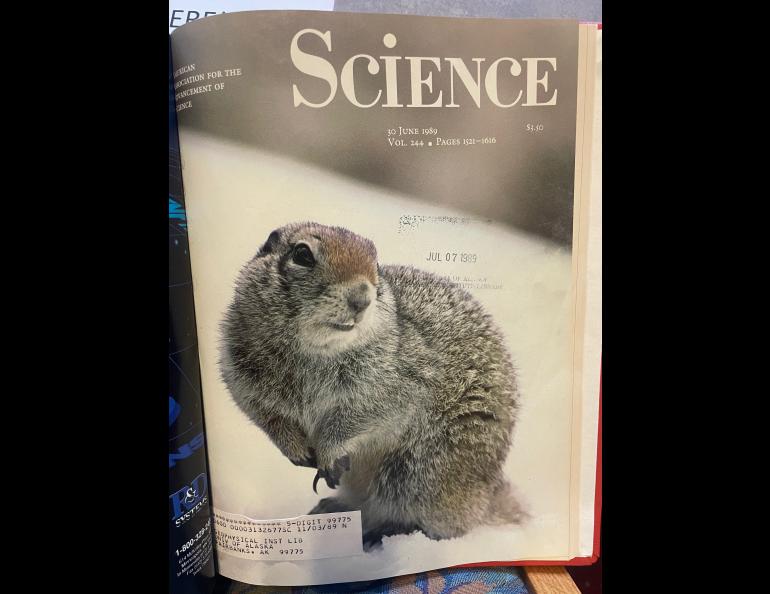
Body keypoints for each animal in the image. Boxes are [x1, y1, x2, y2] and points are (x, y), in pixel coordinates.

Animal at [219, 220, 524, 544]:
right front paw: (297, 450)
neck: (315, 353)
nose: (361, 299)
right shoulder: (243, 377)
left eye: (375, 264)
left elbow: (359, 418)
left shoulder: (395, 387)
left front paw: (329, 453)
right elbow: (269, 418)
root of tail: (488, 495)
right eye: (302, 255)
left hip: (421, 471)